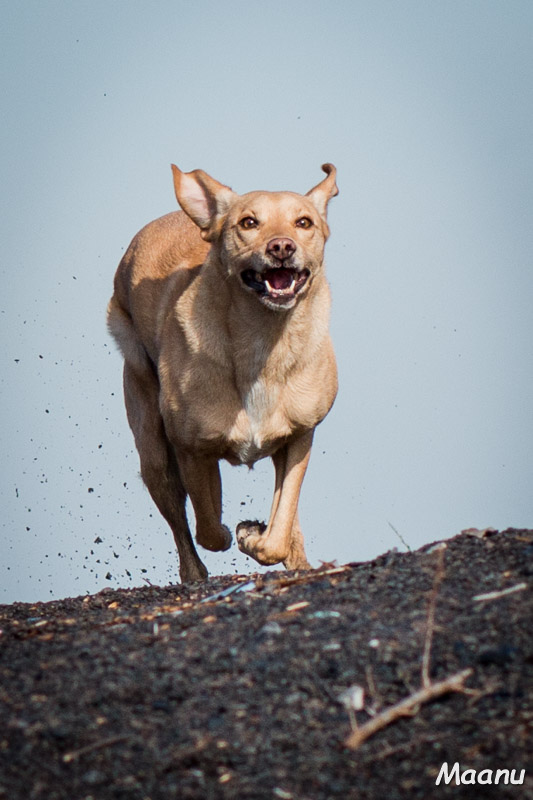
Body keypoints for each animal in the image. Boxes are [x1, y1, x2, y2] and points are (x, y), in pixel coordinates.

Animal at [109, 164, 336, 580]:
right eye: (248, 222)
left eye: (304, 222)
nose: (281, 247)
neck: (263, 342)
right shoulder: (191, 449)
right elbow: (210, 528)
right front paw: (238, 533)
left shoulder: (300, 437)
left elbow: (280, 525)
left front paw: (257, 536)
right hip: (154, 453)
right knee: (185, 529)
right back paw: (195, 575)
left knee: (286, 521)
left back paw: (297, 560)